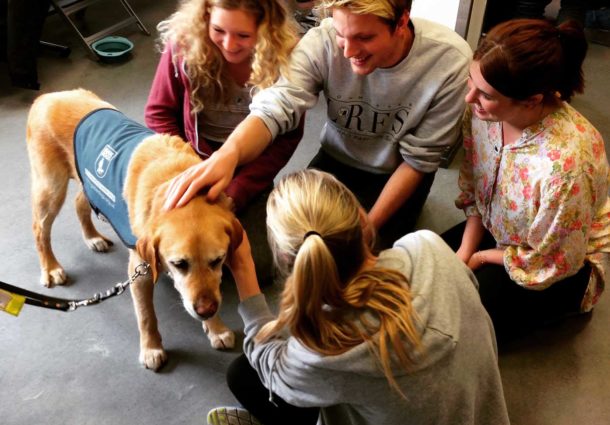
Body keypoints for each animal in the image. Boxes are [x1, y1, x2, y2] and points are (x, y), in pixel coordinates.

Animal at [26, 88, 241, 370]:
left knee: (79, 204)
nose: (206, 310)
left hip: (88, 184)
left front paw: (216, 328)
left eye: (218, 260)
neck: (176, 184)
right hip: (51, 188)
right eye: (179, 264)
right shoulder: (140, 270)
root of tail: (47, 97)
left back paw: (92, 238)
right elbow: (147, 315)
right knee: (40, 229)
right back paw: (51, 267)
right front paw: (151, 348)